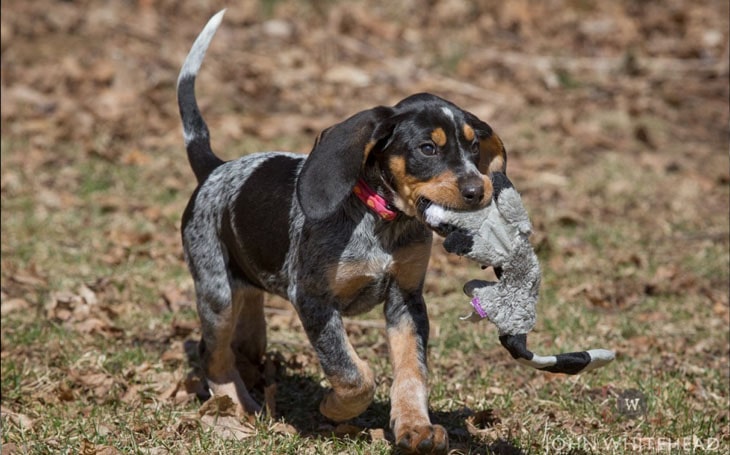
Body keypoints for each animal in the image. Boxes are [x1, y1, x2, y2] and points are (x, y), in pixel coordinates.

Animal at [177, 10, 506, 455]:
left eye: (473, 148)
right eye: (427, 149)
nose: (478, 190)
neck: (382, 221)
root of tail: (213, 169)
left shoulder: (406, 299)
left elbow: (412, 371)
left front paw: (415, 427)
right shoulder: (313, 298)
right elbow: (352, 372)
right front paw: (336, 408)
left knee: (245, 332)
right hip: (216, 293)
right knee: (212, 352)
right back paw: (236, 405)